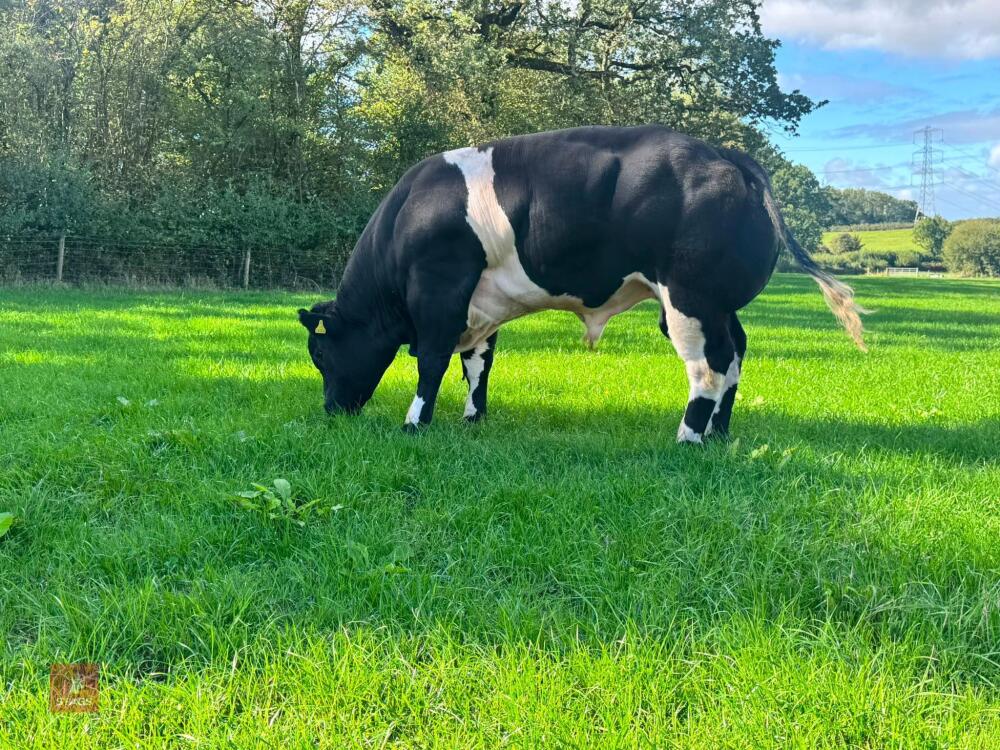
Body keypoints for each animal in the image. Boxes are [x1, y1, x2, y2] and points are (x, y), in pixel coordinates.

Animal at [299, 125, 865, 443]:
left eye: (321, 355)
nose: (330, 410)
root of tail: (728, 156)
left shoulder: (438, 291)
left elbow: (433, 360)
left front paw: (415, 424)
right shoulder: (479, 302)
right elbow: (477, 363)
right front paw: (473, 418)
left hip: (690, 299)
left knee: (710, 365)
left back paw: (688, 437)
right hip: (718, 304)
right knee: (736, 356)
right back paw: (720, 432)